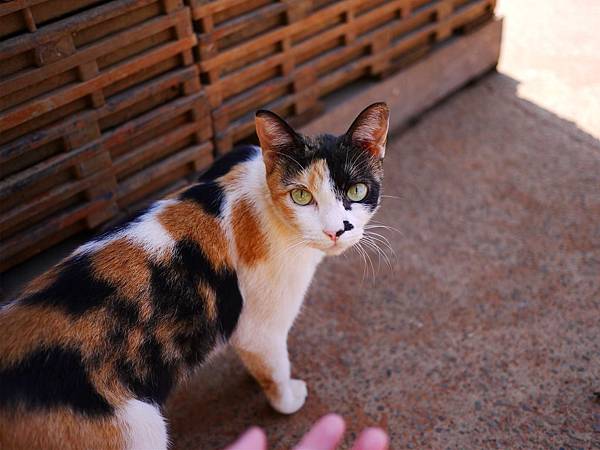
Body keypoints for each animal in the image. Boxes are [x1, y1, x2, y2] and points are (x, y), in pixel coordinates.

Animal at [0, 103, 390, 450]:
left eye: (356, 190)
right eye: (301, 196)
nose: (335, 231)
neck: (264, 201)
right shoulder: (260, 328)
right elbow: (274, 367)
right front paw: (288, 399)